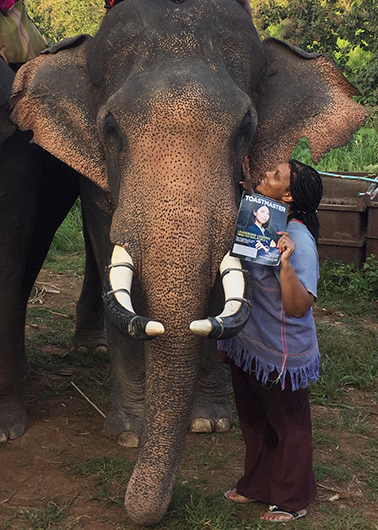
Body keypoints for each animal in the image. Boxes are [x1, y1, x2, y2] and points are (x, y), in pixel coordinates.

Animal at [8, 0, 370, 520]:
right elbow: (108, 240)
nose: (136, 509)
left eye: (246, 128)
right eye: (110, 128)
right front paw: (129, 433)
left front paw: (210, 425)